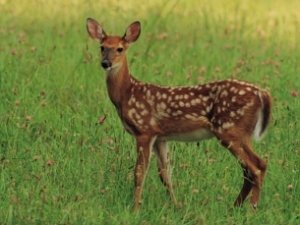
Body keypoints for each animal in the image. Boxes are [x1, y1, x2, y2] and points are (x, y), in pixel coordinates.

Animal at [86, 17, 272, 211]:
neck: (127, 93)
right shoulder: (160, 137)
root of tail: (262, 94)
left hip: (229, 130)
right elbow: (165, 174)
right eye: (102, 47)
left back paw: (251, 209)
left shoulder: (144, 131)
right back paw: (235, 207)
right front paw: (176, 206)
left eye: (120, 49)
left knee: (256, 167)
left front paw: (135, 208)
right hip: (241, 133)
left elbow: (139, 172)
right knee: (252, 167)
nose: (105, 63)